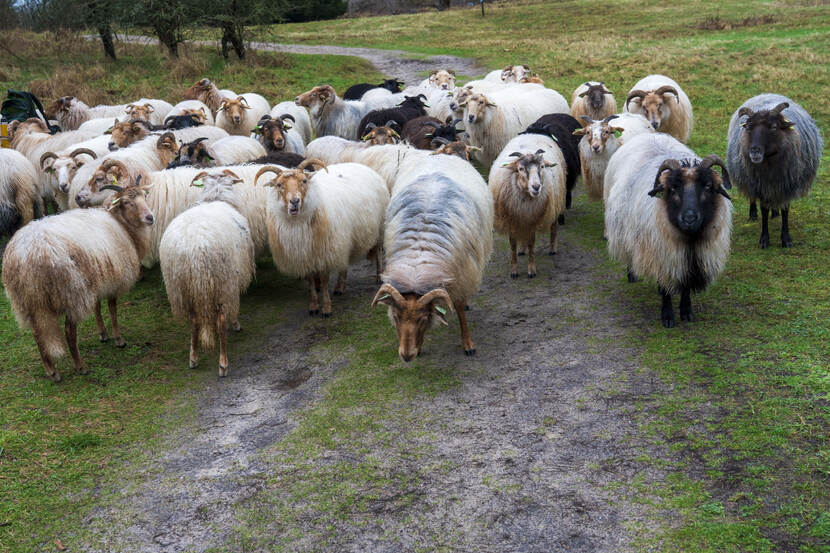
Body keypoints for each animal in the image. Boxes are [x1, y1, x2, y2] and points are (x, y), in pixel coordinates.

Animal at [159, 168, 255, 376]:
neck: (215, 197)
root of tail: (194, 248)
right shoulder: (233, 283)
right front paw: (236, 324)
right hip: (222, 282)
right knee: (220, 322)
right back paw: (223, 364)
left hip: (182, 286)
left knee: (194, 322)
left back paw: (193, 358)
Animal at [724, 95, 824, 248]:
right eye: (749, 127)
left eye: (774, 127)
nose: (754, 151)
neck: (769, 164)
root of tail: (766, 93)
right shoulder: (760, 185)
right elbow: (764, 210)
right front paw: (764, 239)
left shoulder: (787, 185)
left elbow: (785, 210)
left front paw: (786, 239)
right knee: (753, 197)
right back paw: (753, 214)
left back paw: (775, 213)